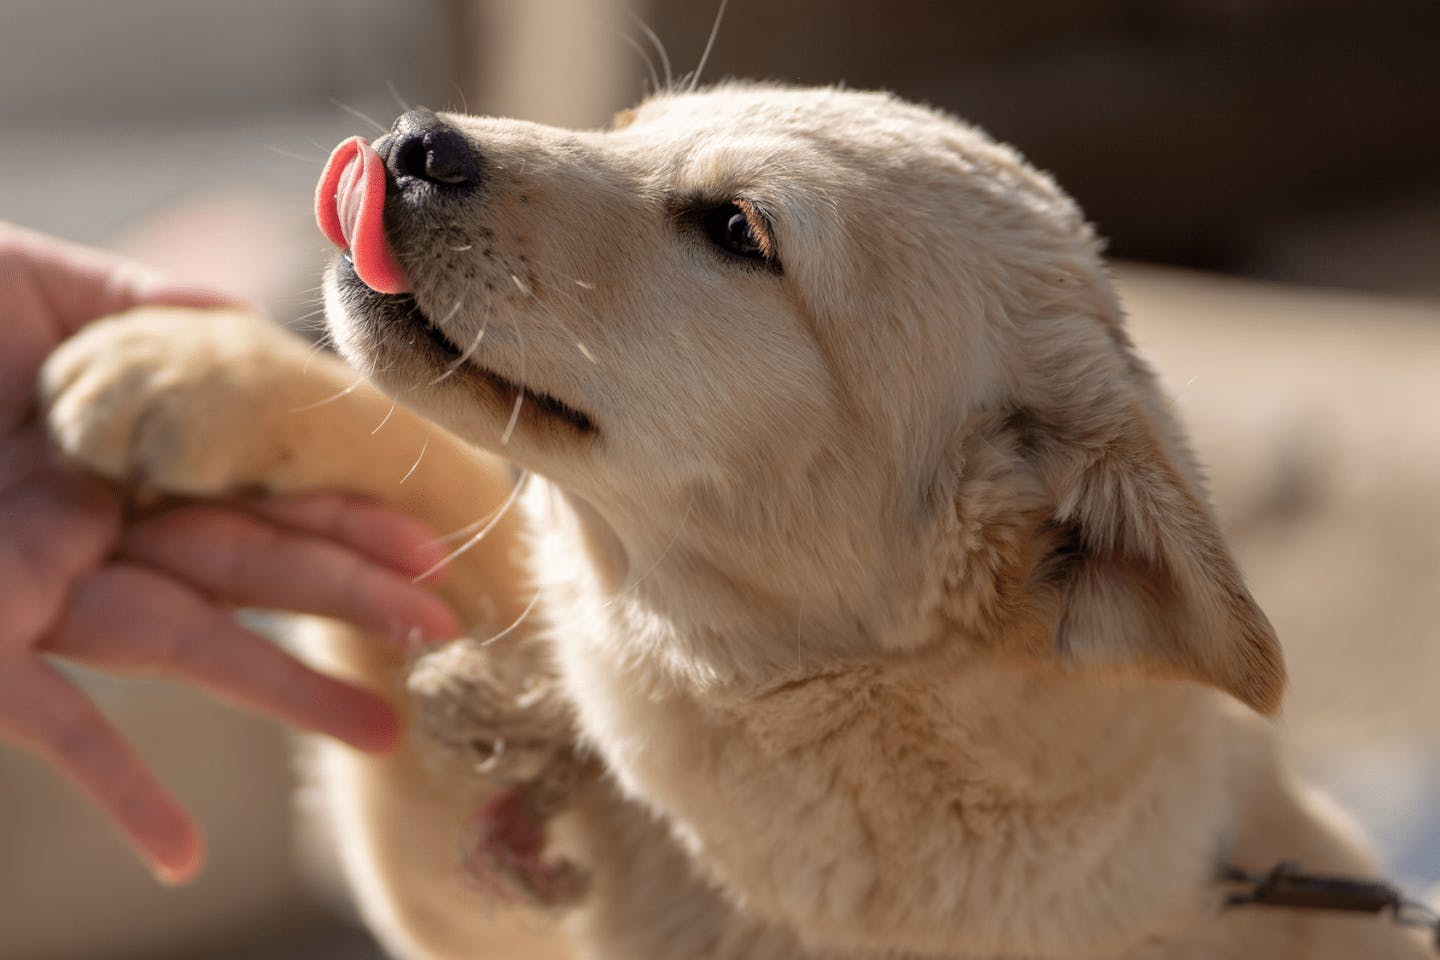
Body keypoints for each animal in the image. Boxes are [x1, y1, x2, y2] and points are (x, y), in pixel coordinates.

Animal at [36, 86, 1428, 955]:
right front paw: (188, 367)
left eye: (736, 228)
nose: (419, 143)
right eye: (623, 127)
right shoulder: (480, 883)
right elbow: (444, 482)